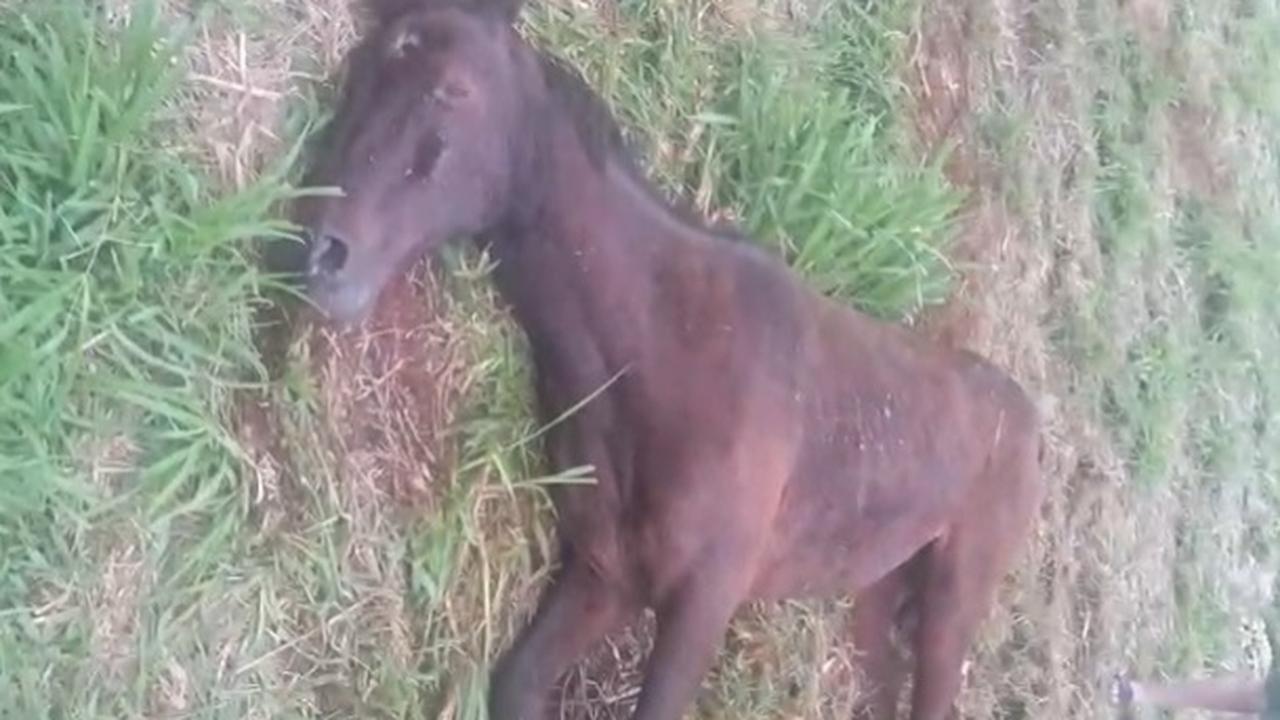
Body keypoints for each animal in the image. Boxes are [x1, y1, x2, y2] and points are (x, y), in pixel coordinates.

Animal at [290, 0, 1045, 717]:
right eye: (358, 74)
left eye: (452, 89)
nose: (325, 256)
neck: (662, 346)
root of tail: (1032, 419)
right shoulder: (606, 574)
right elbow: (518, 685)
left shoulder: (704, 601)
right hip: (877, 593)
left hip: (954, 603)